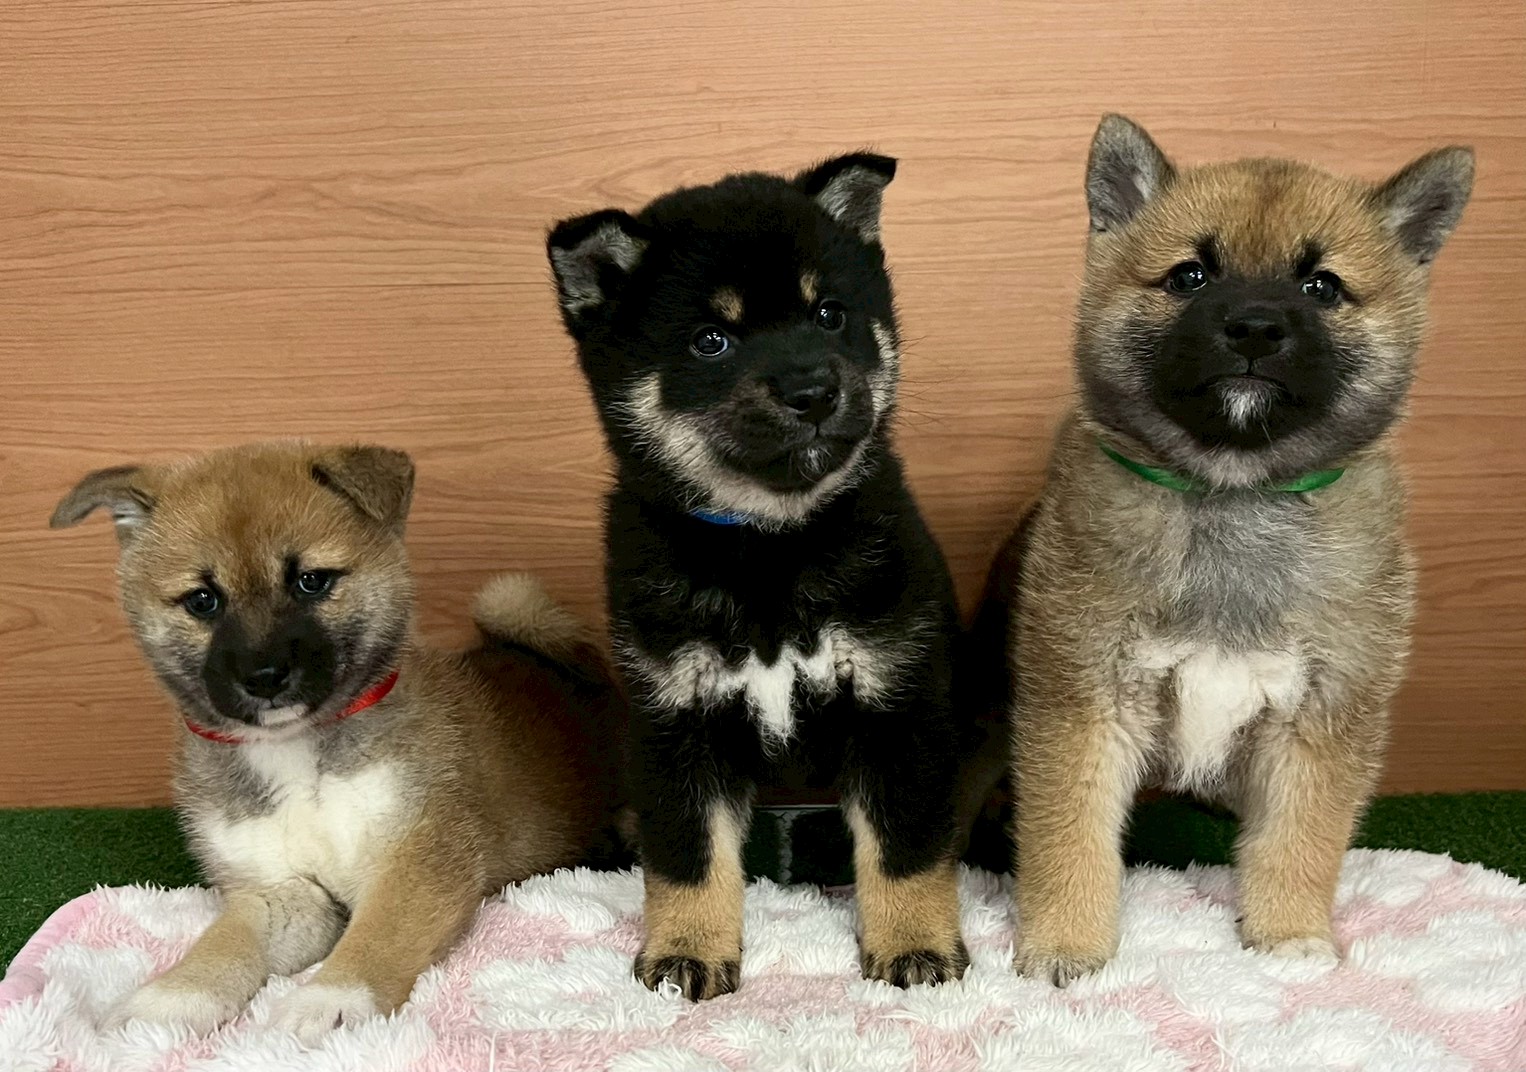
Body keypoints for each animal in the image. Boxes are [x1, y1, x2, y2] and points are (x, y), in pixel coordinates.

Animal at [51, 442, 628, 1041]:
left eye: (311, 581)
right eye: (203, 600)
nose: (264, 676)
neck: (296, 749)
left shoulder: (418, 859)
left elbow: (378, 937)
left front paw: (330, 997)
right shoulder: (281, 892)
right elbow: (224, 943)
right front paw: (168, 999)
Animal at [547, 154, 979, 1000]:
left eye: (831, 315)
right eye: (712, 340)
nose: (812, 390)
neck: (768, 547)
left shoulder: (897, 701)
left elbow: (905, 848)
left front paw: (913, 943)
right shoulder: (675, 722)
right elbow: (687, 858)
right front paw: (687, 951)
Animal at [979, 115, 1473, 985]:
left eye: (1322, 287)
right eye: (1189, 276)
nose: (1254, 326)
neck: (1234, 495)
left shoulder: (1324, 718)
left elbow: (1300, 840)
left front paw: (1287, 934)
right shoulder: (1084, 701)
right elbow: (1069, 838)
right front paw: (1067, 942)